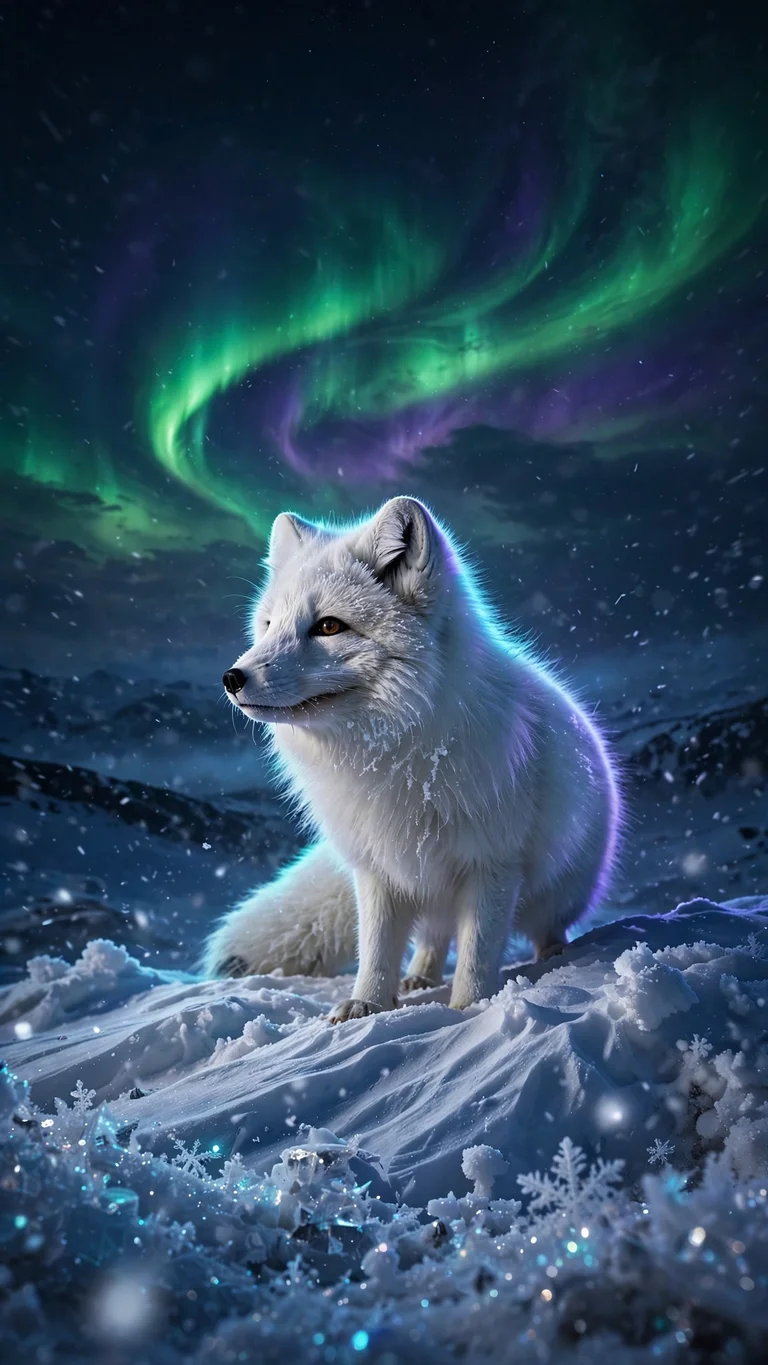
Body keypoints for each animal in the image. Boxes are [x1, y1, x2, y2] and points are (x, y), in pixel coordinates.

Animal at [205, 495, 621, 1022]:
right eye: (268, 625)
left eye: (328, 626)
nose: (231, 678)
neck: (395, 759)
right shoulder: (377, 869)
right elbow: (377, 948)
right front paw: (366, 1005)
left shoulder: (494, 865)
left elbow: (478, 950)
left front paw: (469, 1009)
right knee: (431, 940)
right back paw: (420, 977)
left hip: (553, 892)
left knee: (540, 929)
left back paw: (553, 957)